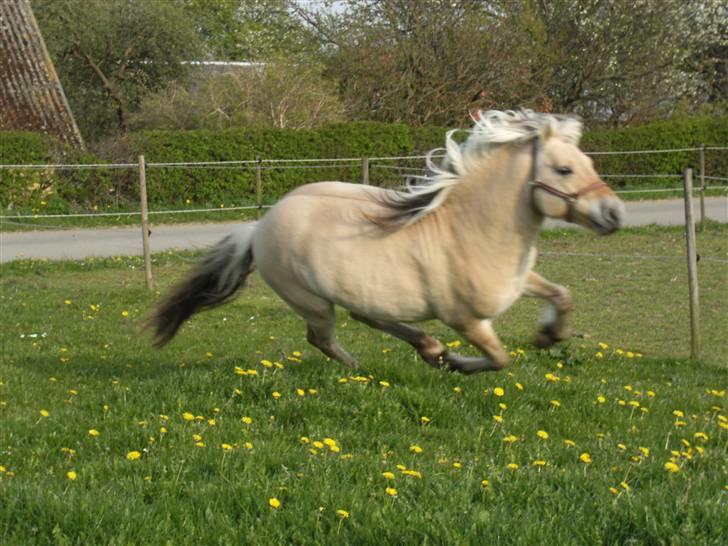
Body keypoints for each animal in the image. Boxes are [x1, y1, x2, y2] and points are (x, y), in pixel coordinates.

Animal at [148, 110, 624, 374]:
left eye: (588, 162)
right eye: (564, 170)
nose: (615, 213)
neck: (472, 232)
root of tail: (259, 227)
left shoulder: (519, 282)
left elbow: (562, 295)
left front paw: (549, 335)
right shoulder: (465, 320)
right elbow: (499, 359)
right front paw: (455, 363)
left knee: (366, 318)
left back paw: (425, 348)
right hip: (312, 302)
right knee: (322, 339)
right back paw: (368, 369)